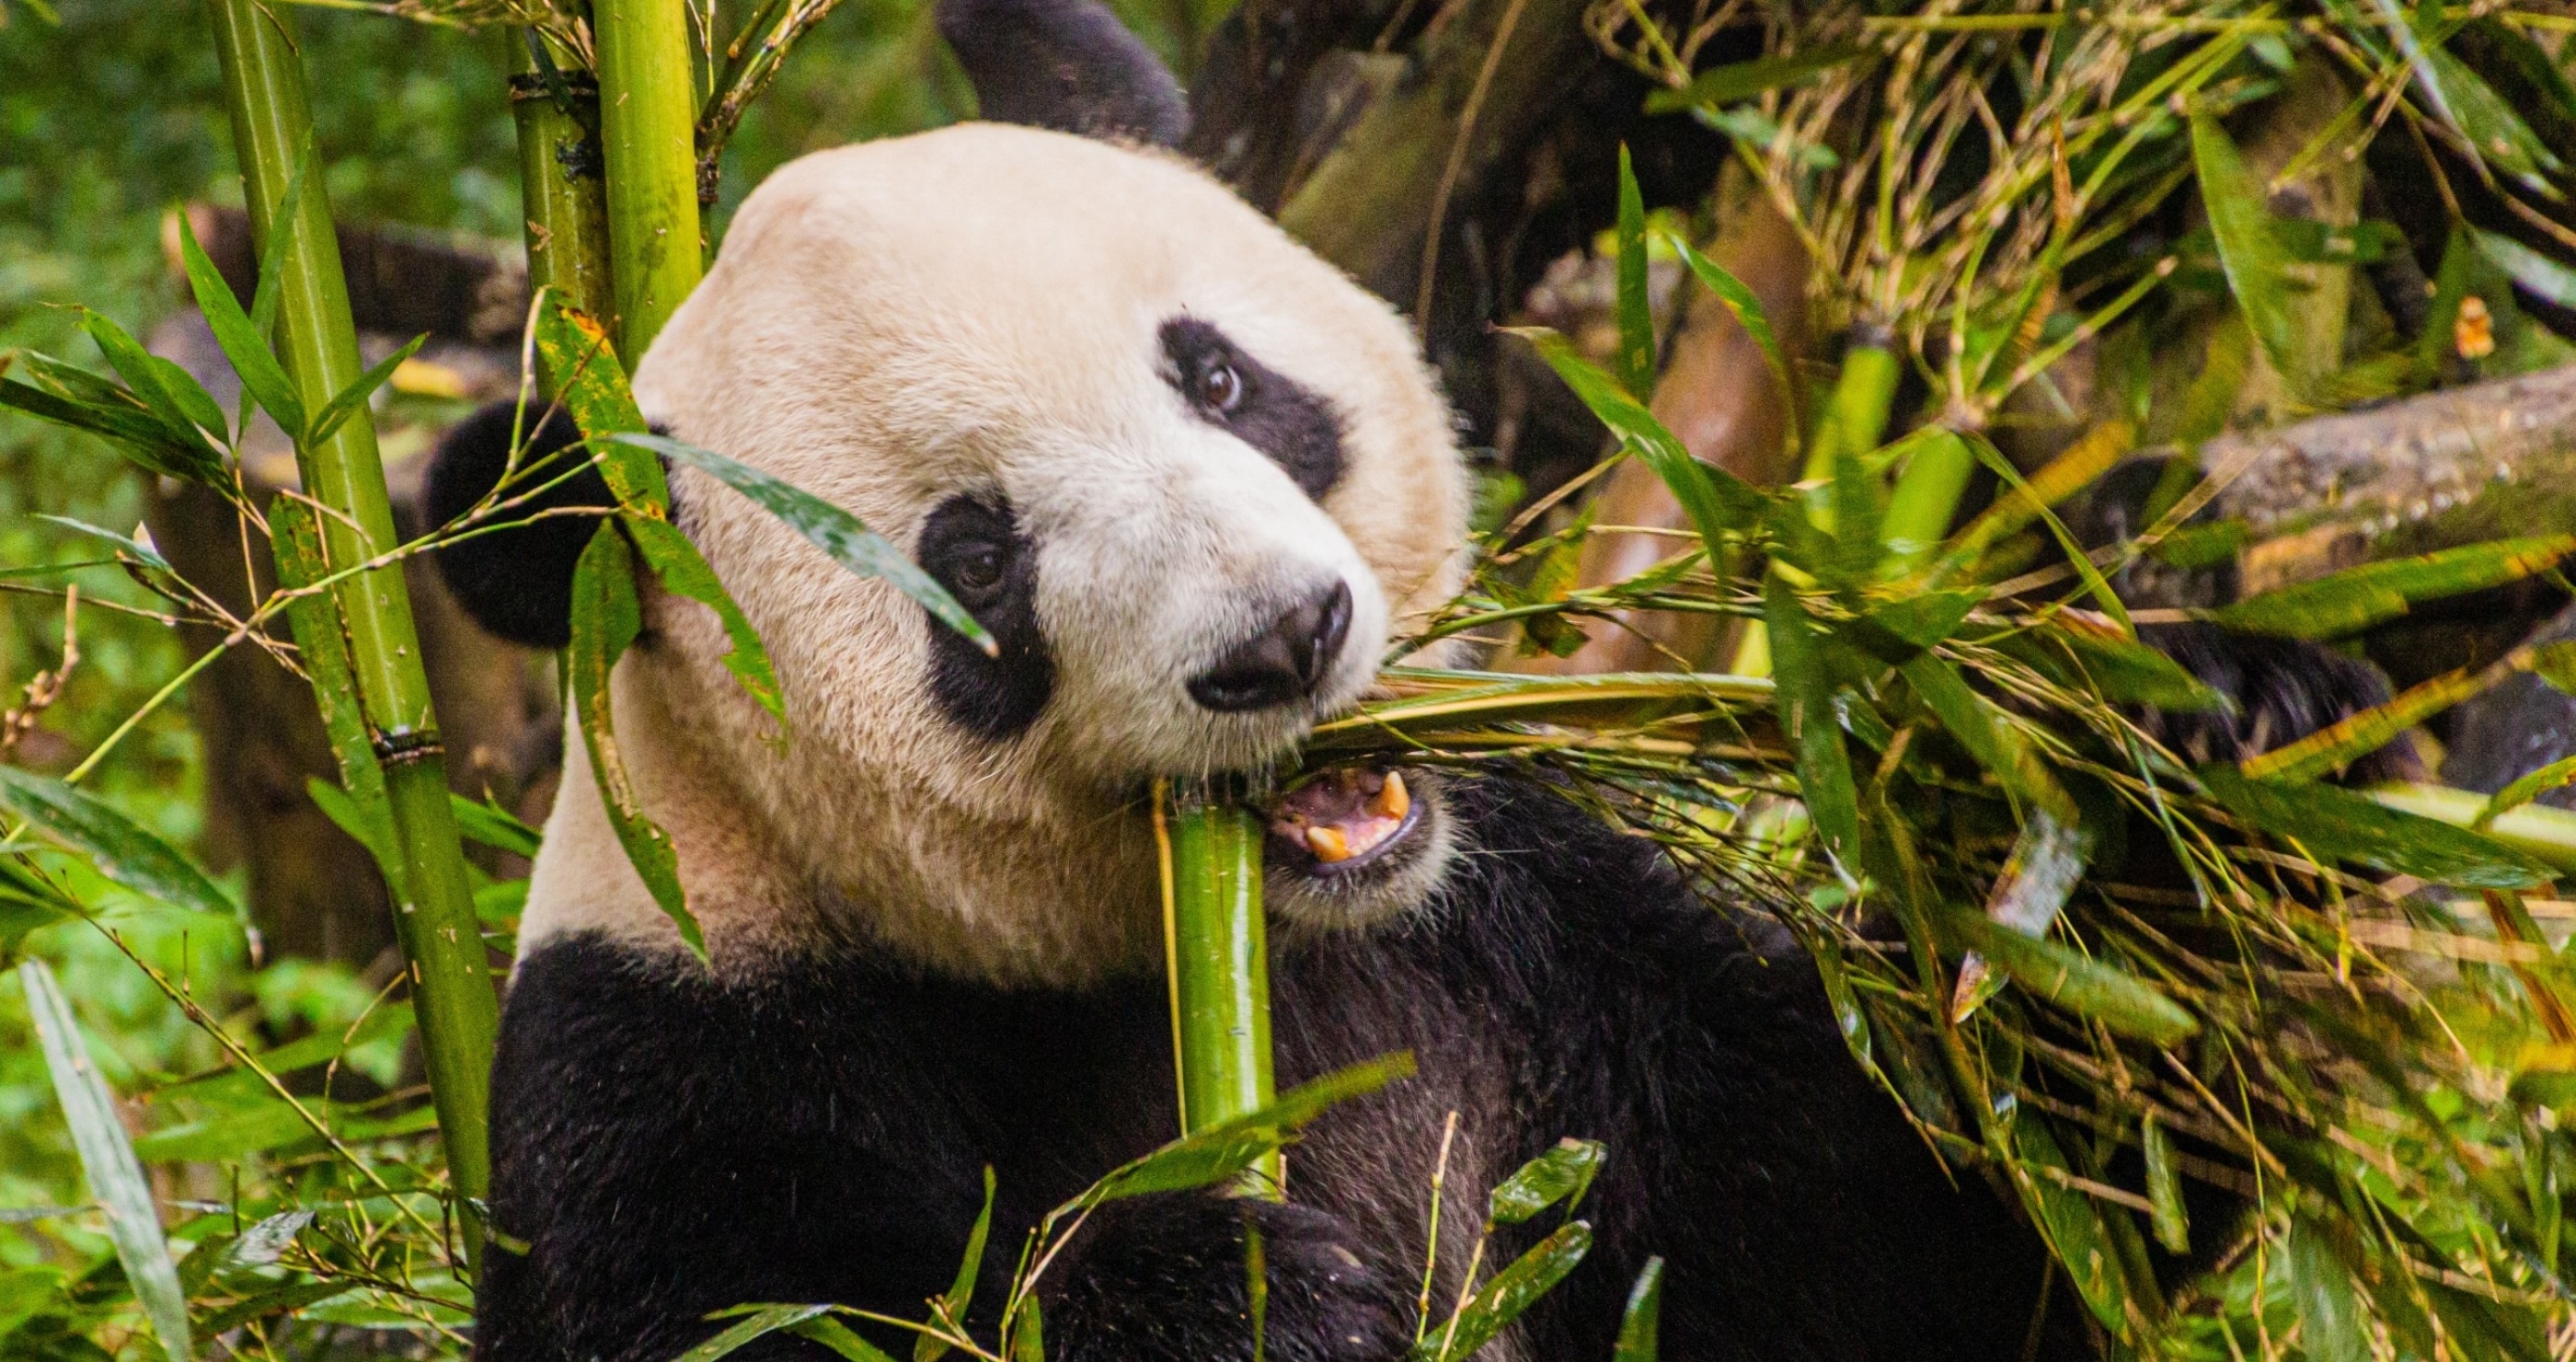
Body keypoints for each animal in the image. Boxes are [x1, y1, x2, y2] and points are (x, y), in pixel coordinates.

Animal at [423, 5, 2396, 1359]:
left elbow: (1921, 1228)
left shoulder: (1538, 941)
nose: (1280, 640)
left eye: (1219, 379)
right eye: (971, 563)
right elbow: (798, 1312)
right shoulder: (685, 1047)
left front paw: (2189, 775)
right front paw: (1224, 1291)